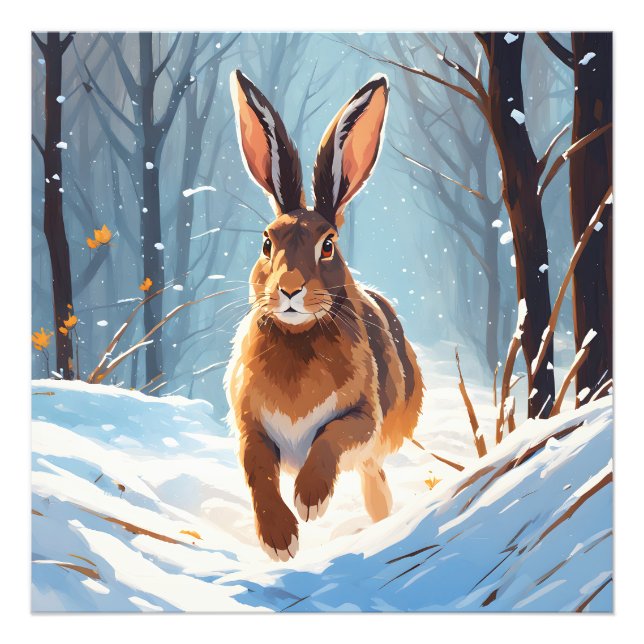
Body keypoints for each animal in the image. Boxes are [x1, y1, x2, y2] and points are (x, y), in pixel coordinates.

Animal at [225, 69, 424, 562]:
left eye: (328, 244)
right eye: (267, 242)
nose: (289, 289)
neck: (298, 339)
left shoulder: (363, 419)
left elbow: (330, 437)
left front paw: (310, 499)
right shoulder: (250, 428)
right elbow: (257, 472)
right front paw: (280, 538)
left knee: (374, 482)